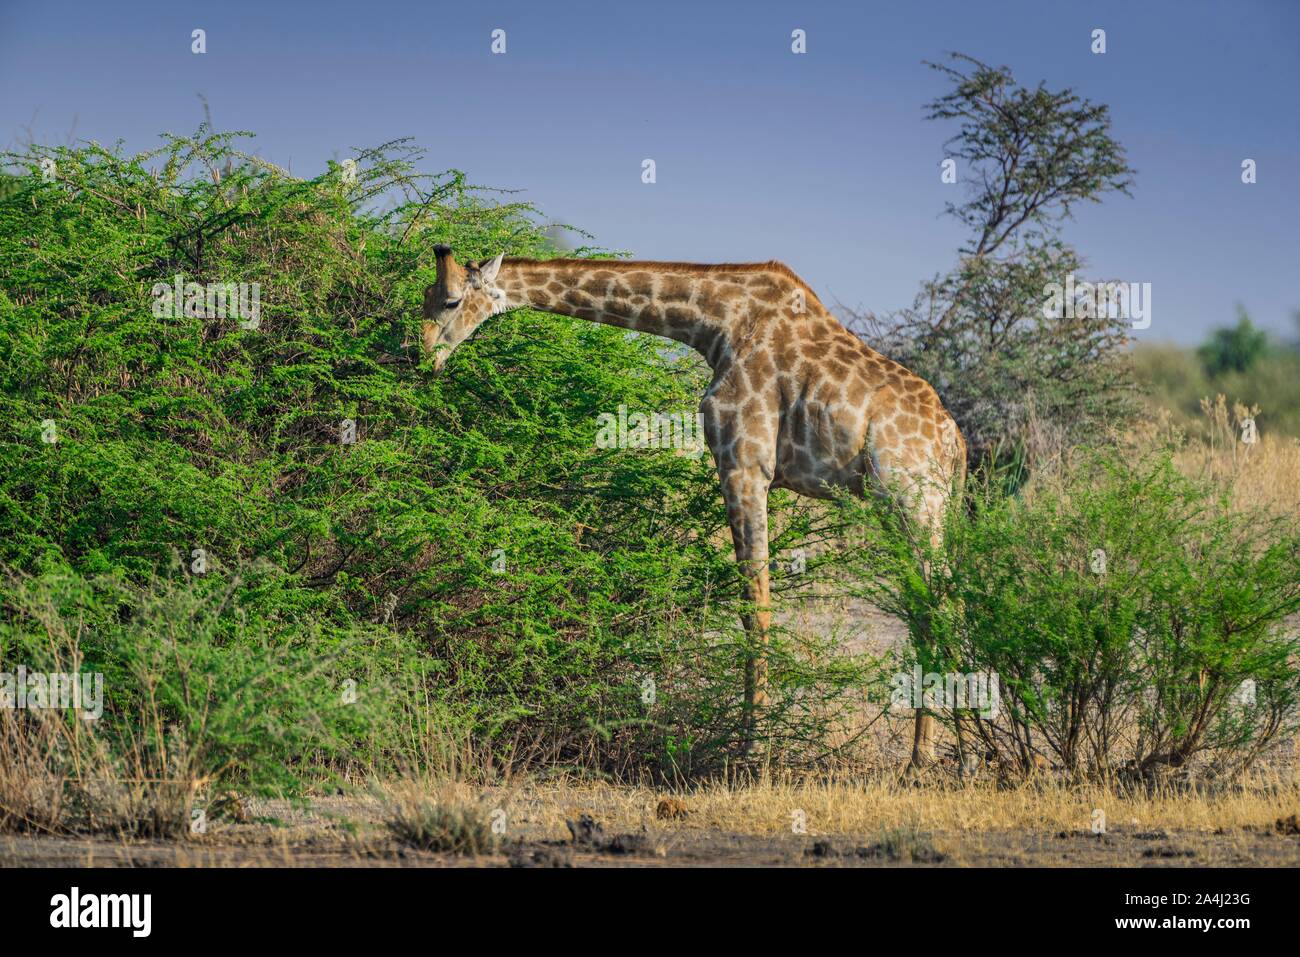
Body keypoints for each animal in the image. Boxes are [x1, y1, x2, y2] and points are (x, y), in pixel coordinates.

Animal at [426, 247, 967, 769]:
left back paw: (933, 759)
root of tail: (955, 445)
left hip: (911, 502)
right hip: (927, 511)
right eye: (428, 296)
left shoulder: (745, 465)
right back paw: (949, 755)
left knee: (938, 606)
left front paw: (752, 750)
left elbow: (756, 607)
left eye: (450, 300)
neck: (716, 324)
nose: (421, 356)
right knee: (945, 604)